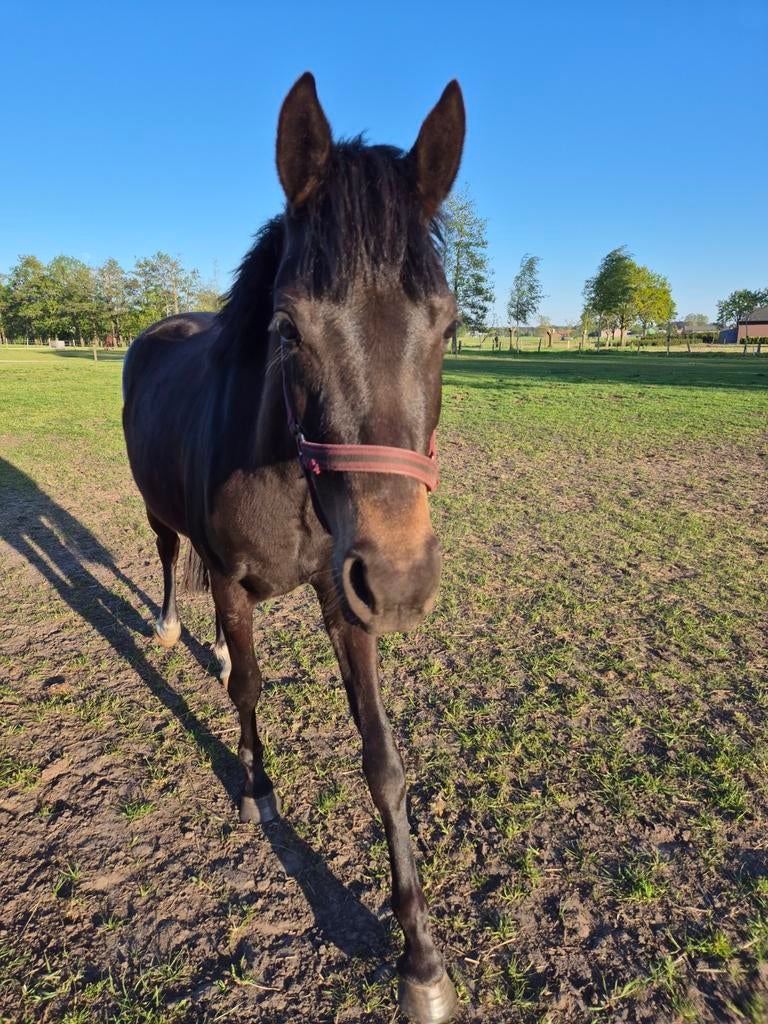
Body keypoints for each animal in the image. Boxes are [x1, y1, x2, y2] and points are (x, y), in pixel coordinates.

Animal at [122, 72, 465, 1024]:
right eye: (287, 331)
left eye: (450, 328)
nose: (402, 579)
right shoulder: (236, 582)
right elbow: (248, 686)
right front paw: (258, 793)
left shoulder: (344, 597)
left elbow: (383, 760)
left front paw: (421, 960)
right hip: (164, 520)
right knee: (168, 560)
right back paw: (170, 627)